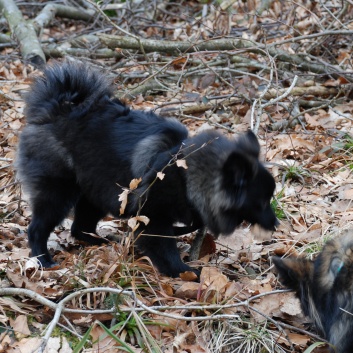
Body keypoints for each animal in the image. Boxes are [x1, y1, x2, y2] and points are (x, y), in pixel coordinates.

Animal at [15, 61, 276, 278]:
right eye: (261, 202)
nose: (276, 224)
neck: (185, 174)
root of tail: (54, 109)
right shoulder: (153, 216)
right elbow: (165, 246)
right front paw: (183, 272)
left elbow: (191, 223)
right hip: (59, 192)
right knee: (37, 228)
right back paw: (42, 260)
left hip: (96, 190)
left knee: (80, 227)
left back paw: (101, 243)